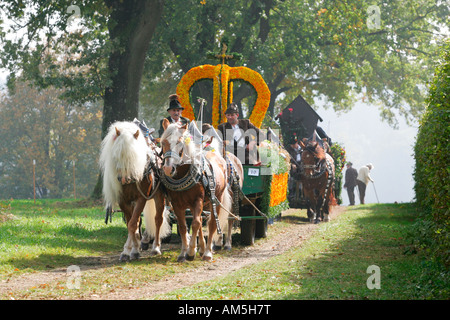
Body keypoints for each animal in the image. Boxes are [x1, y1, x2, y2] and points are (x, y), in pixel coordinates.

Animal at [160, 119, 232, 262]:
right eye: (163, 142)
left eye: (180, 142)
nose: (168, 169)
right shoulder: (176, 204)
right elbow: (183, 226)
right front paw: (183, 253)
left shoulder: (198, 200)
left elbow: (196, 223)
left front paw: (191, 252)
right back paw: (202, 249)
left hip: (217, 199)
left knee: (211, 224)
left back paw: (208, 252)